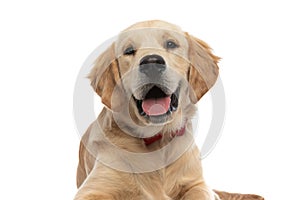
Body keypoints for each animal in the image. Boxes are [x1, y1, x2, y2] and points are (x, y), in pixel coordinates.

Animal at [75, 19, 264, 200]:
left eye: (171, 44)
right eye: (129, 50)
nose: (151, 63)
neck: (157, 138)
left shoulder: (197, 184)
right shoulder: (93, 189)